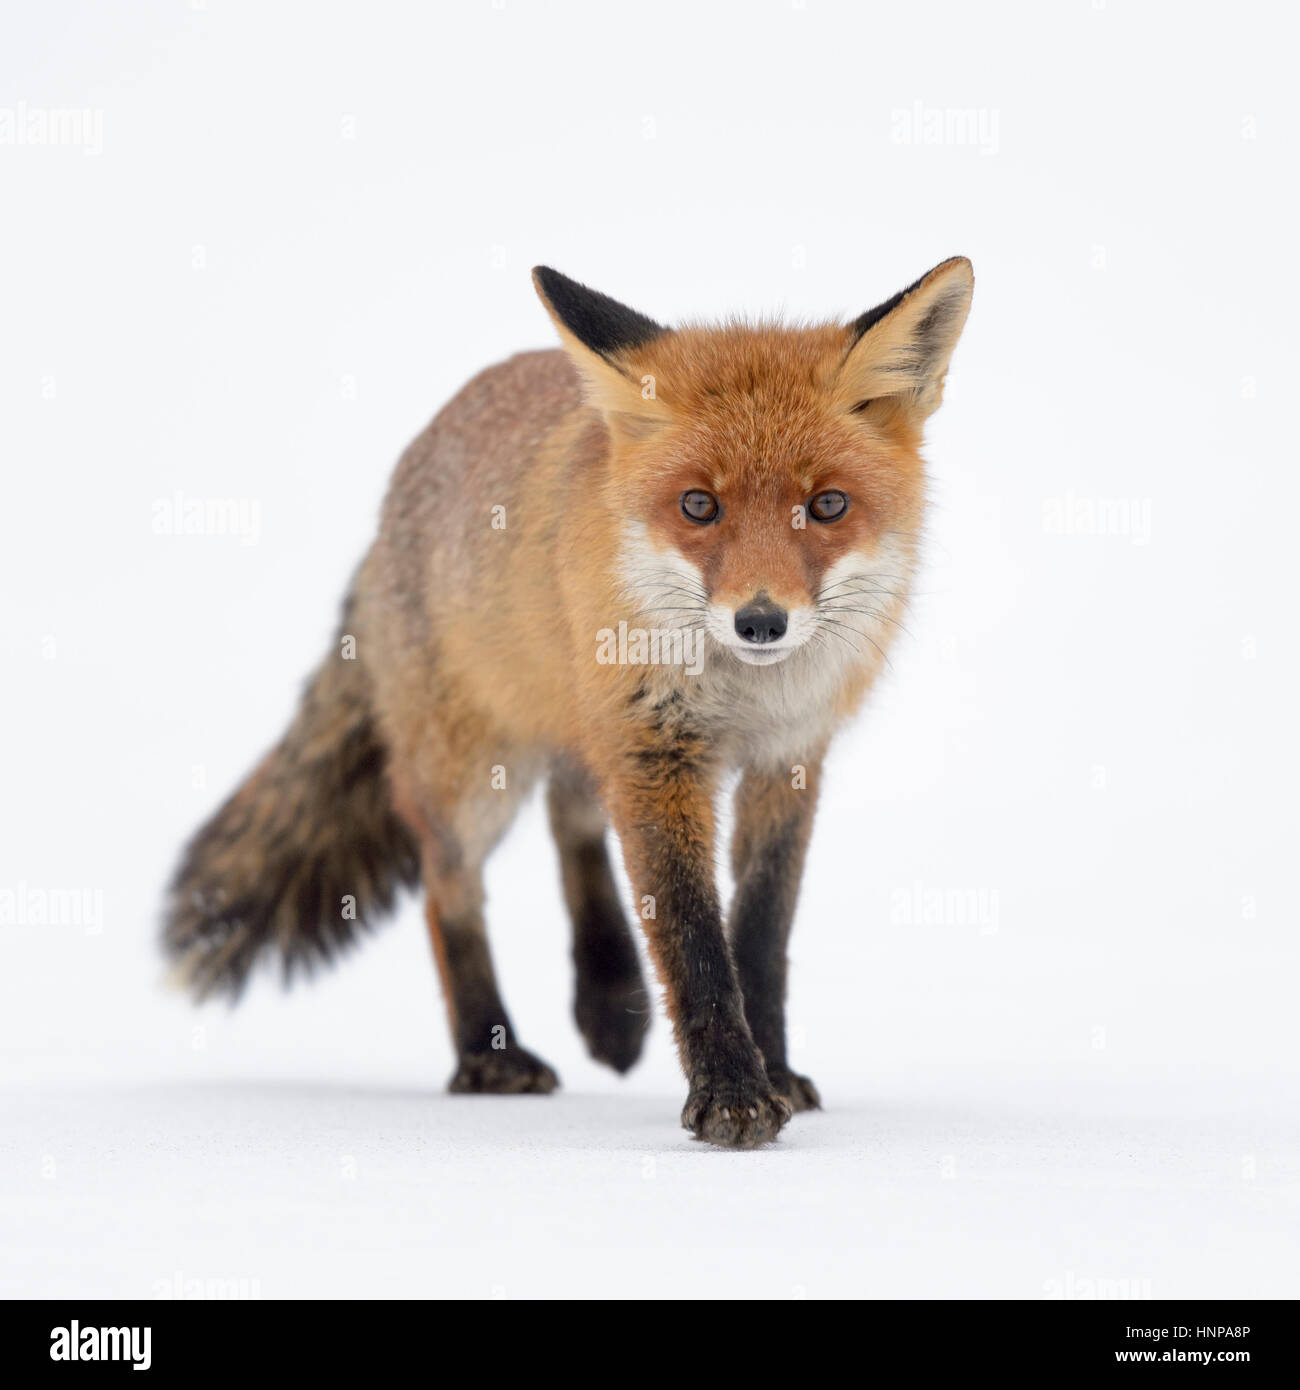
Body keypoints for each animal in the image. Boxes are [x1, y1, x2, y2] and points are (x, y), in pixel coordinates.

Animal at [164, 258, 974, 1148]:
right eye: (699, 506)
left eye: (827, 505)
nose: (761, 620)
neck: (743, 693)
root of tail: (396, 493)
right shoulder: (655, 751)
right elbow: (690, 932)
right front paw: (731, 1092)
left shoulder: (786, 757)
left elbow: (761, 931)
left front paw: (776, 1073)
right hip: (473, 774)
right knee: (449, 885)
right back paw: (488, 1053)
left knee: (570, 813)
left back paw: (607, 996)